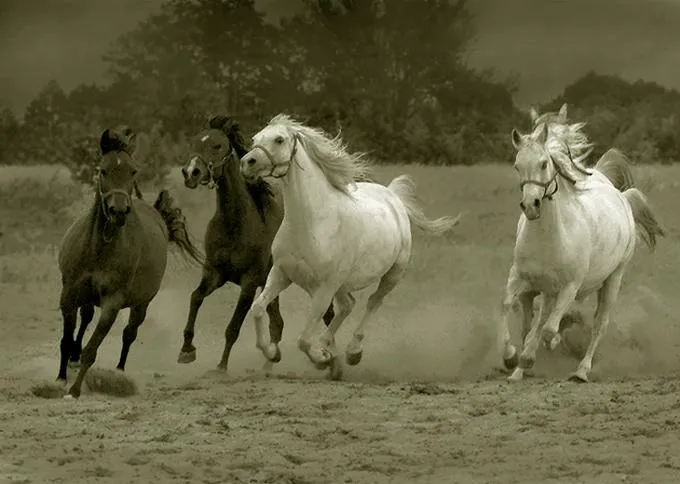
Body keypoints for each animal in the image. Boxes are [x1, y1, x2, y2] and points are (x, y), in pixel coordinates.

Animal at [58, 125, 203, 398]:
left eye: (132, 171)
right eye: (102, 170)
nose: (118, 211)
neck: (98, 249)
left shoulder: (112, 304)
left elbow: (92, 349)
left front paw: (74, 389)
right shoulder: (69, 294)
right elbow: (66, 339)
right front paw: (61, 377)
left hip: (141, 304)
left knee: (129, 334)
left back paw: (119, 371)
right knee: (86, 317)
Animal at [175, 115, 334, 372]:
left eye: (217, 145)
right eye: (195, 142)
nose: (191, 172)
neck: (235, 224)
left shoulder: (249, 283)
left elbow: (233, 327)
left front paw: (221, 367)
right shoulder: (215, 273)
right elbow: (195, 298)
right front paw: (187, 349)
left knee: (327, 315)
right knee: (277, 323)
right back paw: (270, 364)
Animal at [240, 113, 462, 378]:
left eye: (279, 139)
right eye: (255, 139)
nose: (247, 163)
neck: (311, 222)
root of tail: (392, 196)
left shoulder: (324, 287)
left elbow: (303, 340)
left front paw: (321, 357)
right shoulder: (281, 274)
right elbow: (257, 308)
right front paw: (273, 352)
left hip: (391, 275)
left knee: (372, 303)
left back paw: (351, 352)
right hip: (341, 284)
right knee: (348, 306)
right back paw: (328, 348)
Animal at [500, 118, 664, 382]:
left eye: (544, 163)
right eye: (517, 166)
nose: (531, 206)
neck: (549, 236)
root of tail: (621, 196)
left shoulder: (569, 286)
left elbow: (547, 328)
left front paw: (536, 352)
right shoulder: (521, 278)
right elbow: (507, 306)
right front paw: (511, 357)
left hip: (613, 280)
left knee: (599, 324)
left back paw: (581, 370)